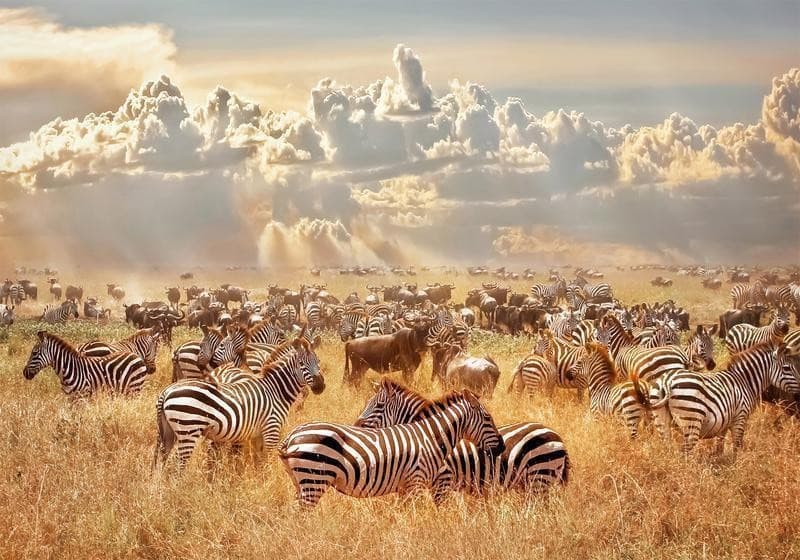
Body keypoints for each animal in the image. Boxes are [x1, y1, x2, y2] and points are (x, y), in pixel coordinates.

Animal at [153, 337, 325, 471]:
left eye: (318, 361)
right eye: (301, 363)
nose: (320, 386)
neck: (276, 390)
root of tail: (166, 392)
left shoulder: (257, 435)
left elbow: (258, 461)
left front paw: (256, 480)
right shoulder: (272, 429)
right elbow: (267, 460)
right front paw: (266, 480)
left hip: (169, 432)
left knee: (163, 460)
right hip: (188, 429)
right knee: (177, 464)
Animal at [279, 390, 505, 507]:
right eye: (488, 418)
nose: (502, 447)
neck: (431, 436)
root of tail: (291, 436)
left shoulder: (406, 486)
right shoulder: (417, 481)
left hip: (301, 481)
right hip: (314, 479)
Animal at [648, 342, 800, 453]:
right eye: (787, 368)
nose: (799, 392)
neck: (744, 381)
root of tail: (667, 381)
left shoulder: (724, 421)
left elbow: (720, 445)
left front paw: (720, 463)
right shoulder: (740, 417)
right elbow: (737, 445)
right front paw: (735, 467)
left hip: (661, 420)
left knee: (667, 448)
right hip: (692, 421)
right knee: (686, 453)